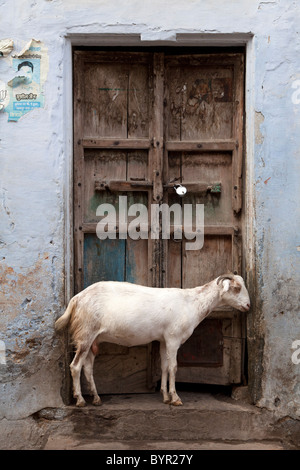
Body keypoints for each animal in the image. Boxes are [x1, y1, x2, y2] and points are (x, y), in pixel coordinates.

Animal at [55, 274, 250, 406]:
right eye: (236, 288)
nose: (248, 306)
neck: (192, 302)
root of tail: (76, 298)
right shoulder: (173, 338)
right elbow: (173, 367)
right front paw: (175, 398)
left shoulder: (164, 340)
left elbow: (163, 366)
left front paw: (165, 395)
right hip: (86, 334)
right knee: (75, 366)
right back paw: (80, 400)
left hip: (92, 339)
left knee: (87, 368)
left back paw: (96, 398)